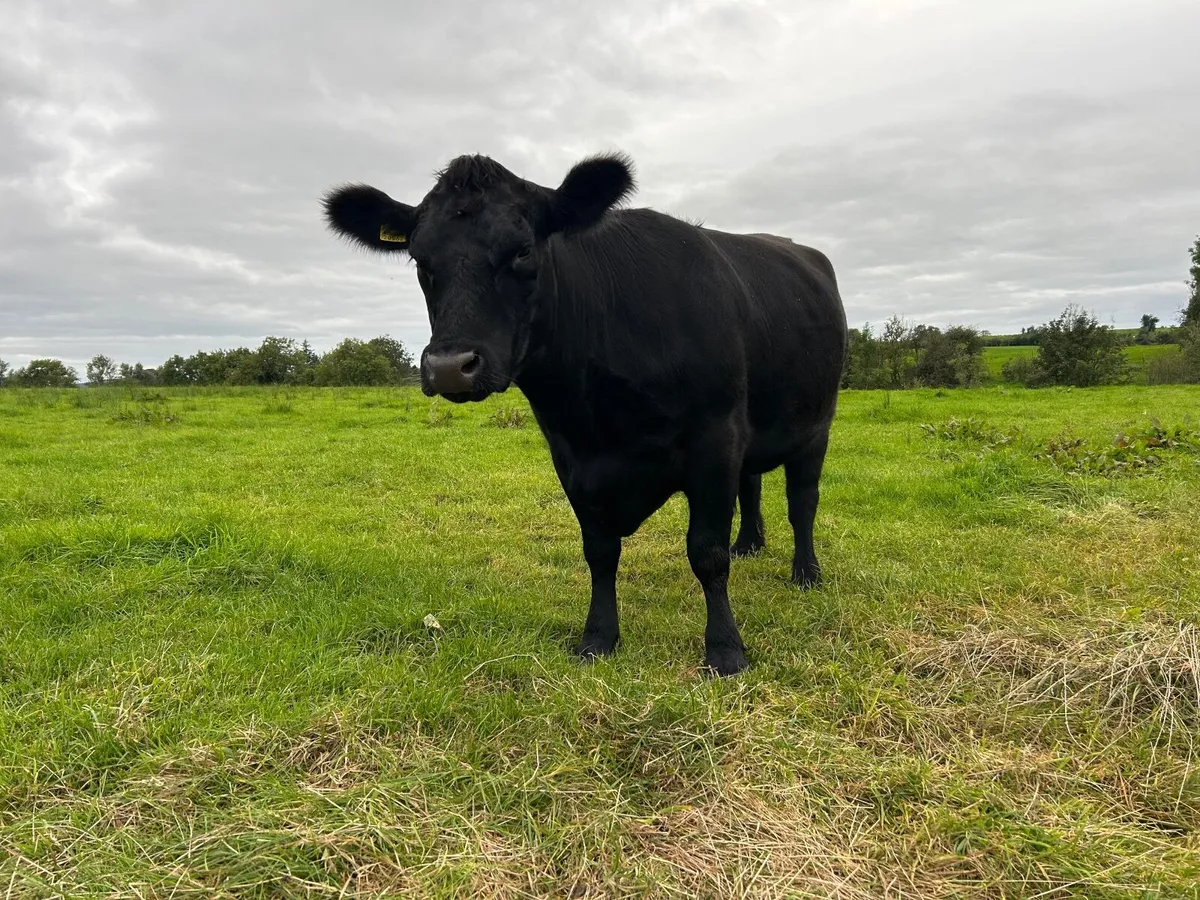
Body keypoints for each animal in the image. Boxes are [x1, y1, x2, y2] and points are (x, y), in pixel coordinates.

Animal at [322, 152, 847, 676]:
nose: (451, 367)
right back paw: (750, 544)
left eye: (522, 251)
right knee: (751, 484)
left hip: (817, 425)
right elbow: (599, 551)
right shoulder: (571, 455)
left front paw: (724, 649)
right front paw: (598, 637)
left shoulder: (715, 438)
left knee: (802, 502)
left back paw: (806, 573)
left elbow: (707, 551)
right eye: (419, 259)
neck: (601, 419)